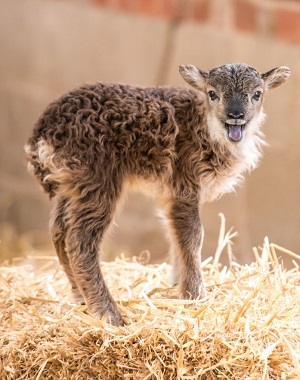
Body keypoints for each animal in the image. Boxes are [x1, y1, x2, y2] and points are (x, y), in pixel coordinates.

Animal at [25, 62, 290, 324]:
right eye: (212, 93)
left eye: (257, 94)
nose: (235, 115)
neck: (204, 128)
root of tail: (42, 134)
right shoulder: (185, 183)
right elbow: (193, 236)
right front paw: (195, 296)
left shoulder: (171, 193)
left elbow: (174, 233)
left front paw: (176, 284)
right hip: (97, 178)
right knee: (79, 239)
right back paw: (109, 314)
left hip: (70, 184)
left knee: (59, 231)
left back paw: (80, 298)